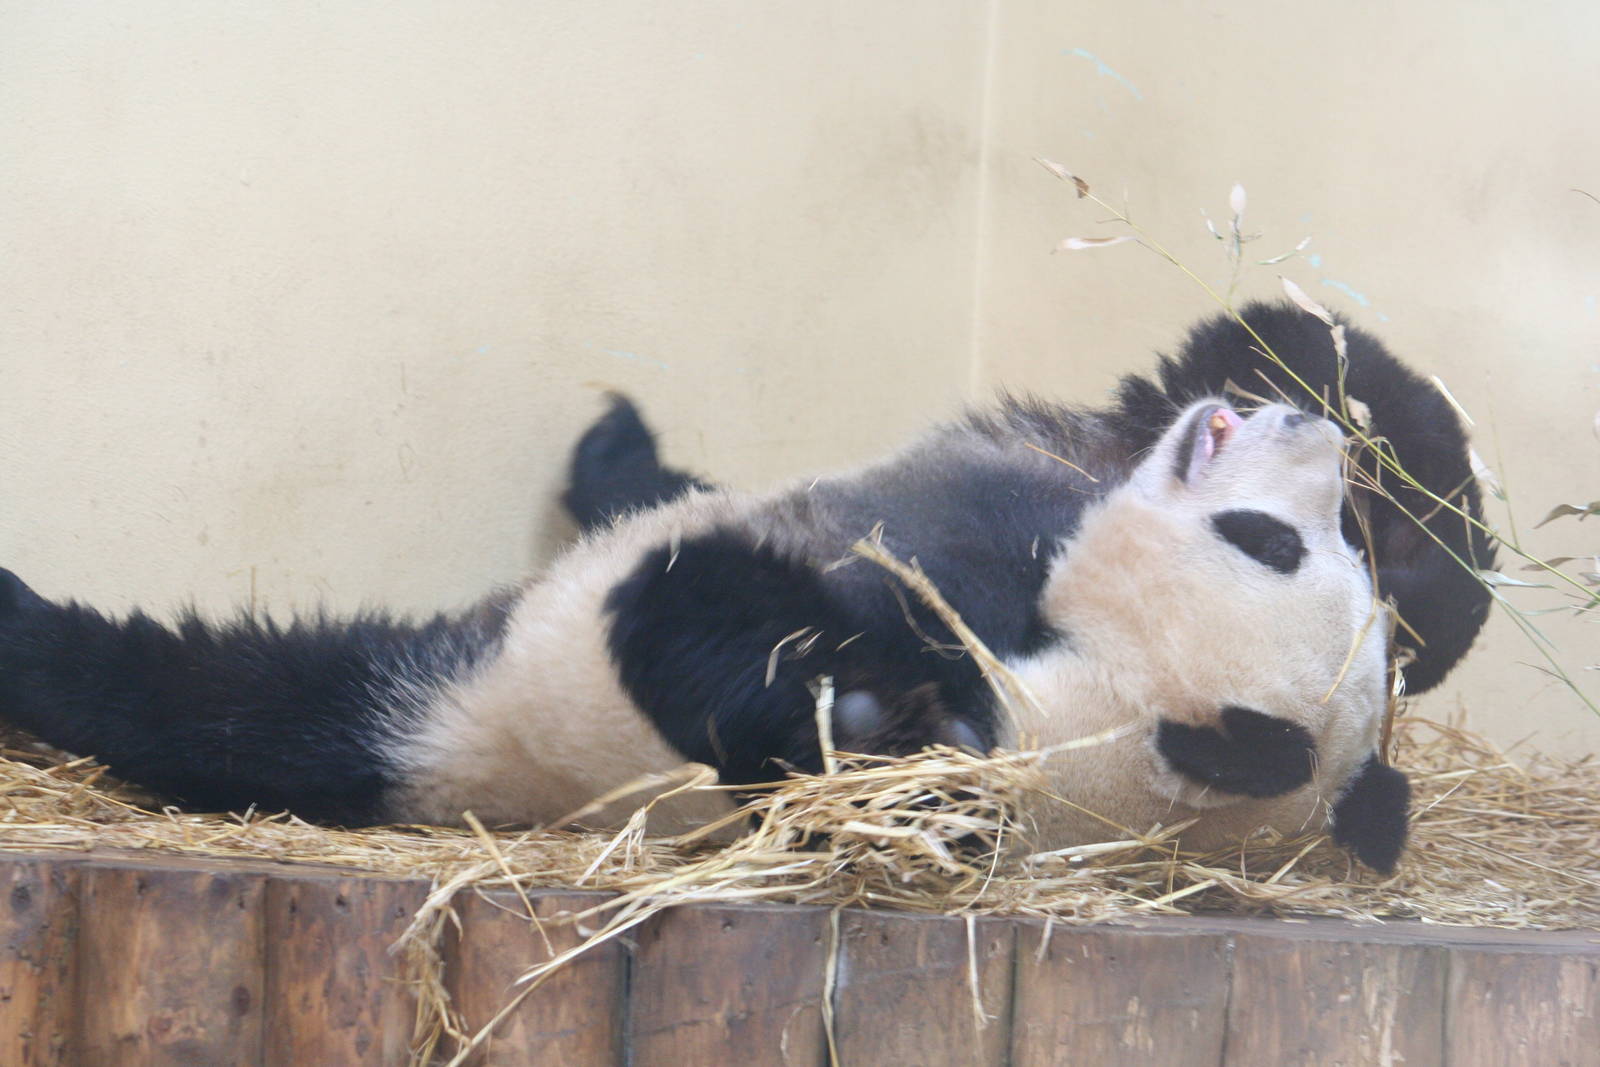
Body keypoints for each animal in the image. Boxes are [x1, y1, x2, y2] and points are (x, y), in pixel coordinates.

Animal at [0, 303, 1489, 874]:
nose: (1302, 440)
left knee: (225, 697)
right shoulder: (1027, 507)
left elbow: (749, 666)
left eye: (1266, 545)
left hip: (453, 707)